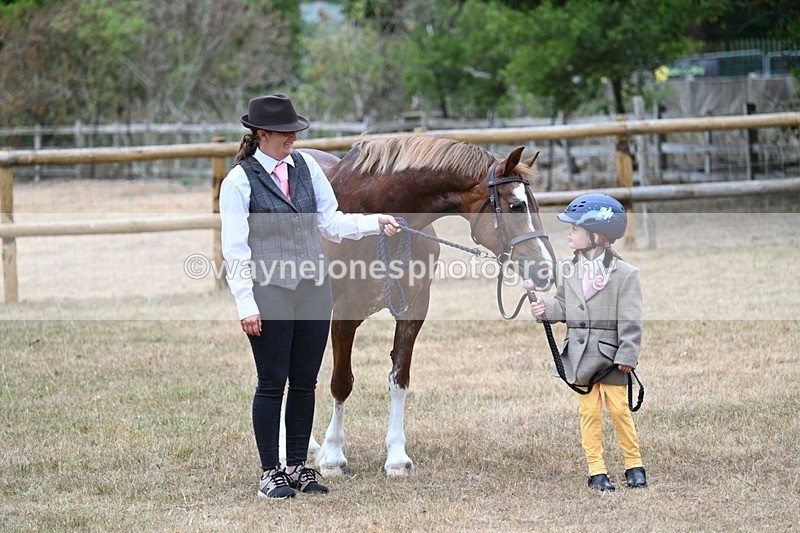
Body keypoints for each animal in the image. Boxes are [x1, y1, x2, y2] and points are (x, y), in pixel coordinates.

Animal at [302, 136, 556, 476]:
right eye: (517, 206)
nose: (545, 269)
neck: (373, 214)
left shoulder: (414, 310)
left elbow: (399, 380)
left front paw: (397, 458)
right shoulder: (345, 313)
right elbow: (341, 382)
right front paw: (332, 457)